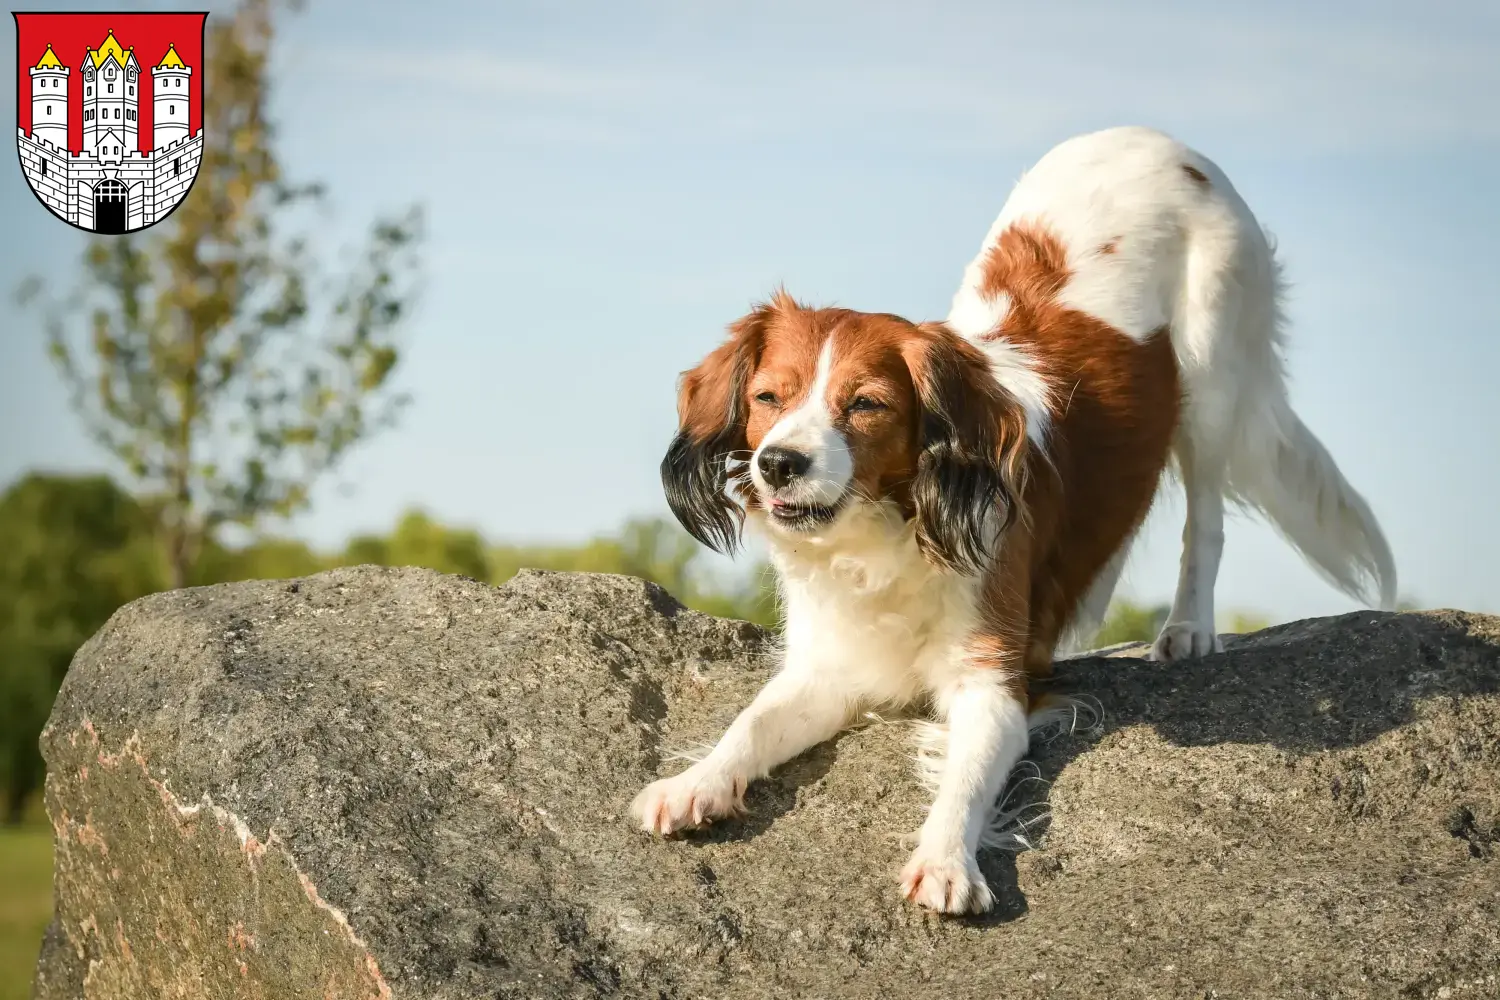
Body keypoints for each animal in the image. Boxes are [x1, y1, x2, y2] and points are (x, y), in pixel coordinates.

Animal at [630, 125, 1392, 917]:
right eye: (768, 397)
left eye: (865, 404)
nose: (778, 463)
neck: (891, 533)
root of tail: (1153, 137)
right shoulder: (829, 669)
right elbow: (750, 723)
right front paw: (695, 784)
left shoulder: (994, 685)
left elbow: (965, 781)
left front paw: (946, 860)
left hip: (1210, 374)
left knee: (1205, 516)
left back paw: (1189, 628)